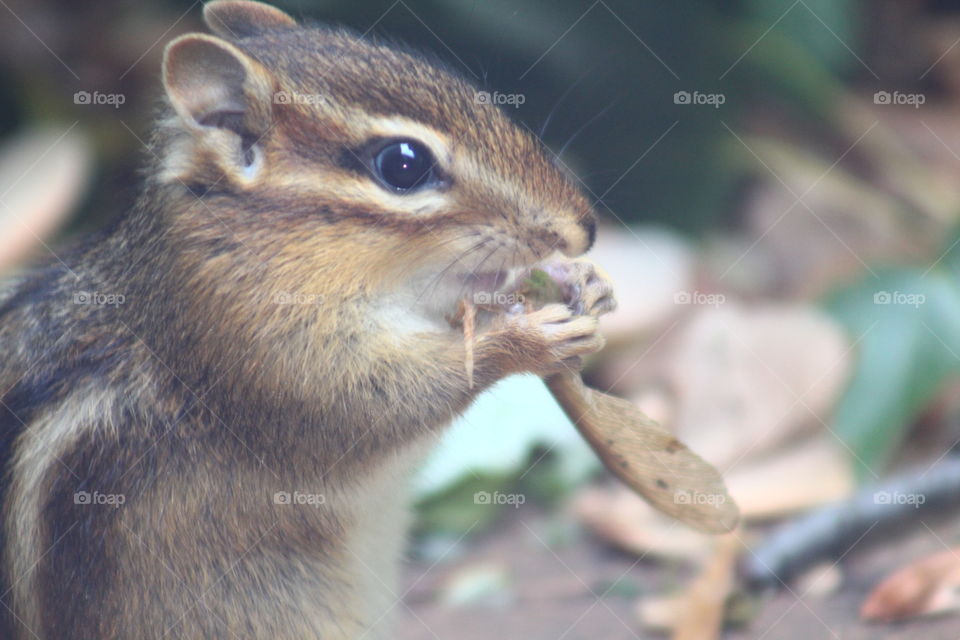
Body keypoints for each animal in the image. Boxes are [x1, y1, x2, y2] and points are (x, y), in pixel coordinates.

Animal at [0, 2, 615, 638]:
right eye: (403, 164)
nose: (583, 228)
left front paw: (582, 282)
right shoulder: (258, 344)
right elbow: (371, 401)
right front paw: (527, 337)